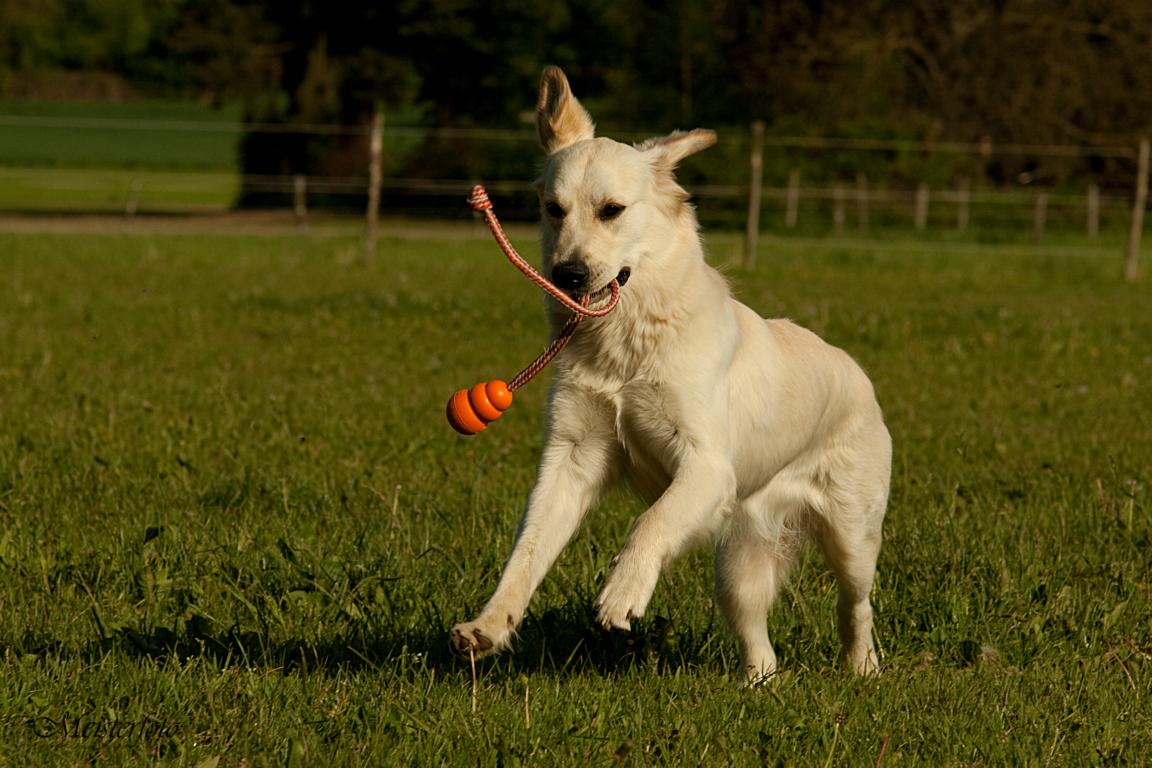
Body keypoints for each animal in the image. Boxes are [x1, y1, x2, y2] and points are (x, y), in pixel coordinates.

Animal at [449, 66, 889, 677]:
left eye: (612, 210)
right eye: (553, 209)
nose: (568, 275)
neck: (627, 343)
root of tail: (858, 373)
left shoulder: (705, 464)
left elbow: (649, 523)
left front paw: (621, 592)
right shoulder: (571, 458)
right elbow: (527, 551)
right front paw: (489, 625)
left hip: (852, 535)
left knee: (857, 604)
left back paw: (863, 667)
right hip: (738, 566)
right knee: (761, 643)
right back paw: (757, 683)